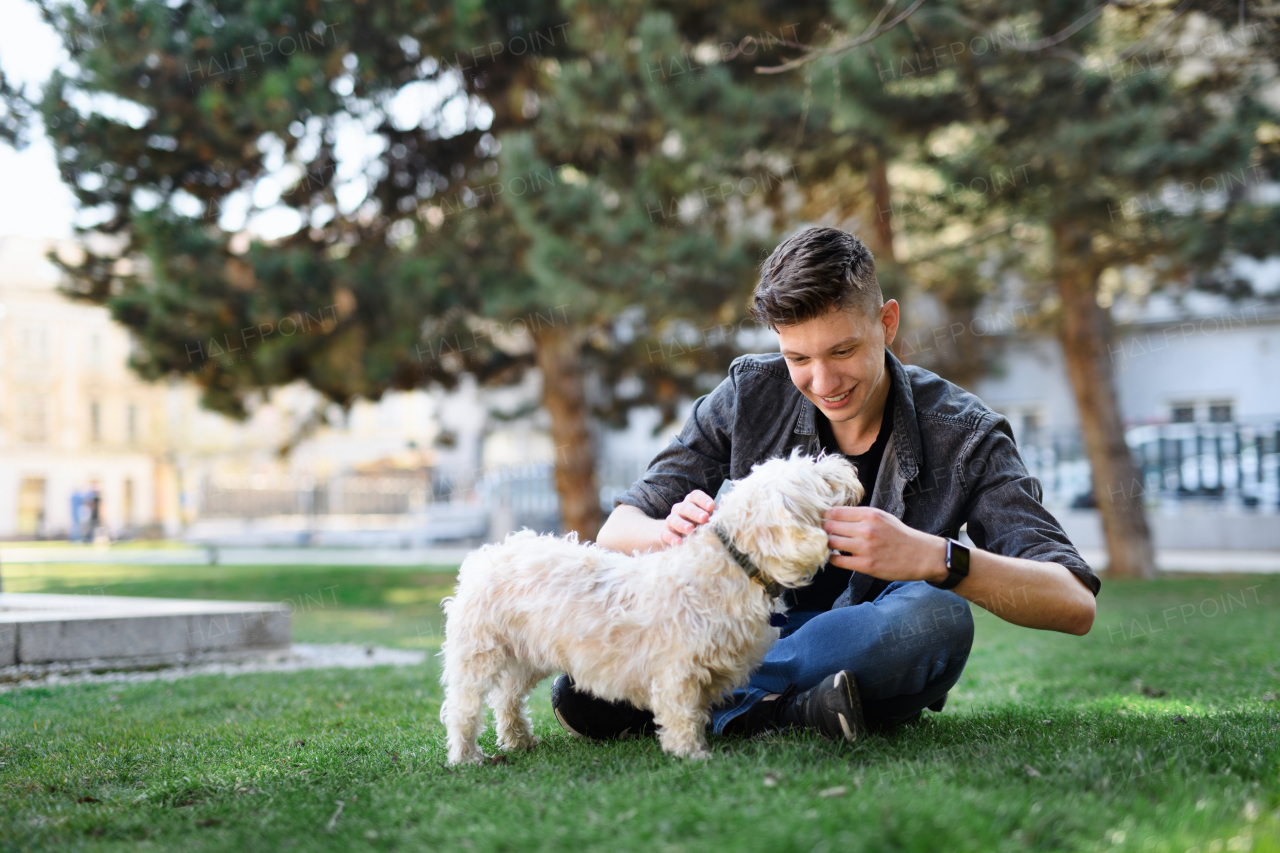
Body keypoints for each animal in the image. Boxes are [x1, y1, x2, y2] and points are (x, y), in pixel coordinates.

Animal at [437, 448, 860, 758]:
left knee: (507, 699)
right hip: (479, 654)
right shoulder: (678, 670)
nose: (848, 464)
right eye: (820, 478)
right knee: (464, 707)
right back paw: (466, 756)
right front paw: (691, 753)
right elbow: (681, 712)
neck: (732, 565)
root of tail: (487, 555)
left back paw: (518, 740)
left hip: (527, 656)